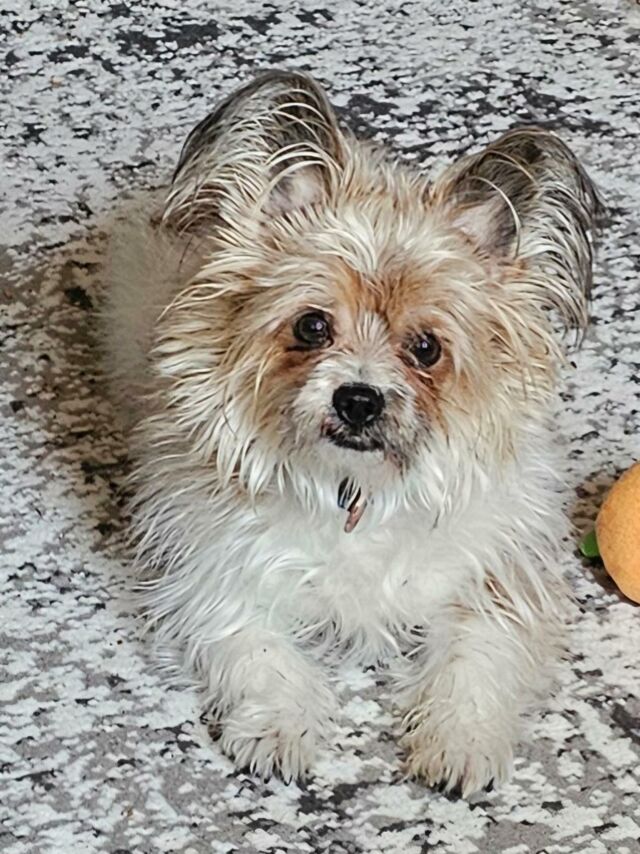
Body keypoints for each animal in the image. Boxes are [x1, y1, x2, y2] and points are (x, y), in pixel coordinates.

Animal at [104, 71, 598, 796]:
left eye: (426, 348)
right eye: (312, 326)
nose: (359, 399)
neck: (355, 491)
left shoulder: (496, 576)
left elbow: (478, 653)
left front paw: (461, 737)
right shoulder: (215, 573)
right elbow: (258, 649)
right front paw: (279, 725)